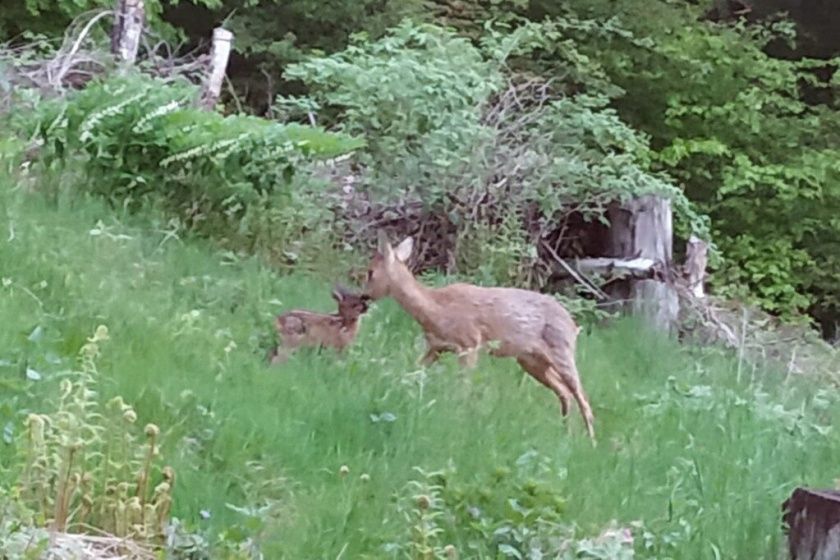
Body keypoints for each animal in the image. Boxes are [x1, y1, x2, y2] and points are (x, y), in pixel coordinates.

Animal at [368, 233, 596, 442]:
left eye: (369, 273)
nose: (363, 296)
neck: (436, 308)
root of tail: (573, 325)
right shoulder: (436, 347)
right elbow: (413, 372)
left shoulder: (469, 343)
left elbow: (463, 386)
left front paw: (460, 415)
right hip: (531, 361)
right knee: (565, 393)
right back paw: (566, 435)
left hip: (561, 349)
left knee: (582, 396)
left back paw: (591, 442)